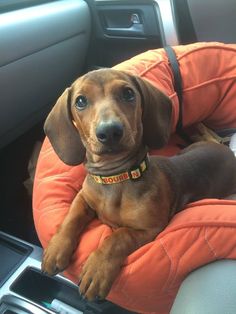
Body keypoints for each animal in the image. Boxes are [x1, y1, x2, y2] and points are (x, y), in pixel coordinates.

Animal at [41, 69, 236, 302]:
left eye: (128, 94)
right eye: (80, 101)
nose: (110, 131)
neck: (115, 178)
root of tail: (225, 150)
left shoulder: (150, 228)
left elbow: (118, 236)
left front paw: (97, 269)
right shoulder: (83, 197)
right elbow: (72, 217)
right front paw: (56, 248)